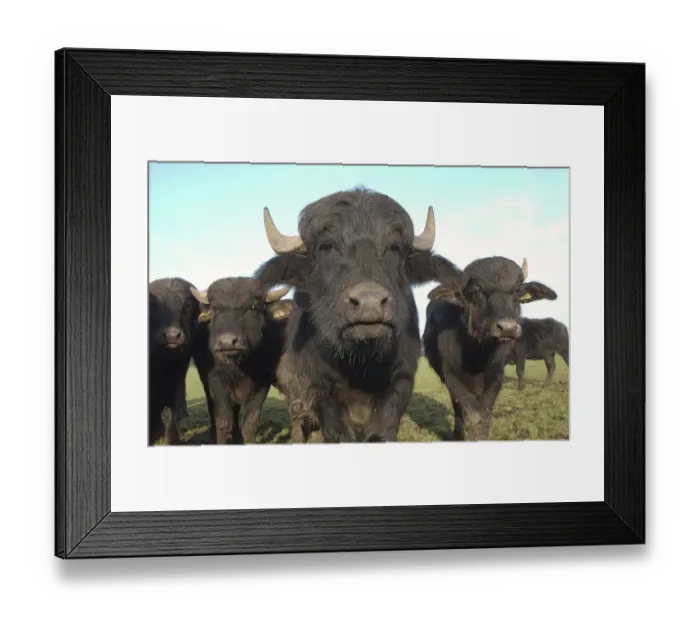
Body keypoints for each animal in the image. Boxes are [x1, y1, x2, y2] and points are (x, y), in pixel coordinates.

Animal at [148, 277, 201, 446]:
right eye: (153, 305)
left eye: (187, 306)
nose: (172, 336)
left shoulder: (179, 372)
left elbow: (172, 408)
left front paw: (172, 437)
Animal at [188, 277, 294, 444]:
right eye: (215, 309)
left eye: (253, 307)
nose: (227, 342)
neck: (241, 368)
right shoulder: (216, 381)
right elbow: (223, 422)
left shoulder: (263, 384)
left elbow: (251, 424)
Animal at [253, 186, 460, 443]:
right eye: (327, 247)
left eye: (394, 248)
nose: (369, 303)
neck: (360, 367)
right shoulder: (316, 386)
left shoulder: (402, 380)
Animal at [422, 256, 558, 441]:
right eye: (476, 290)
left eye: (517, 289)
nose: (507, 328)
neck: (477, 355)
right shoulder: (452, 376)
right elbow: (471, 415)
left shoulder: (496, 375)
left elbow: (485, 415)